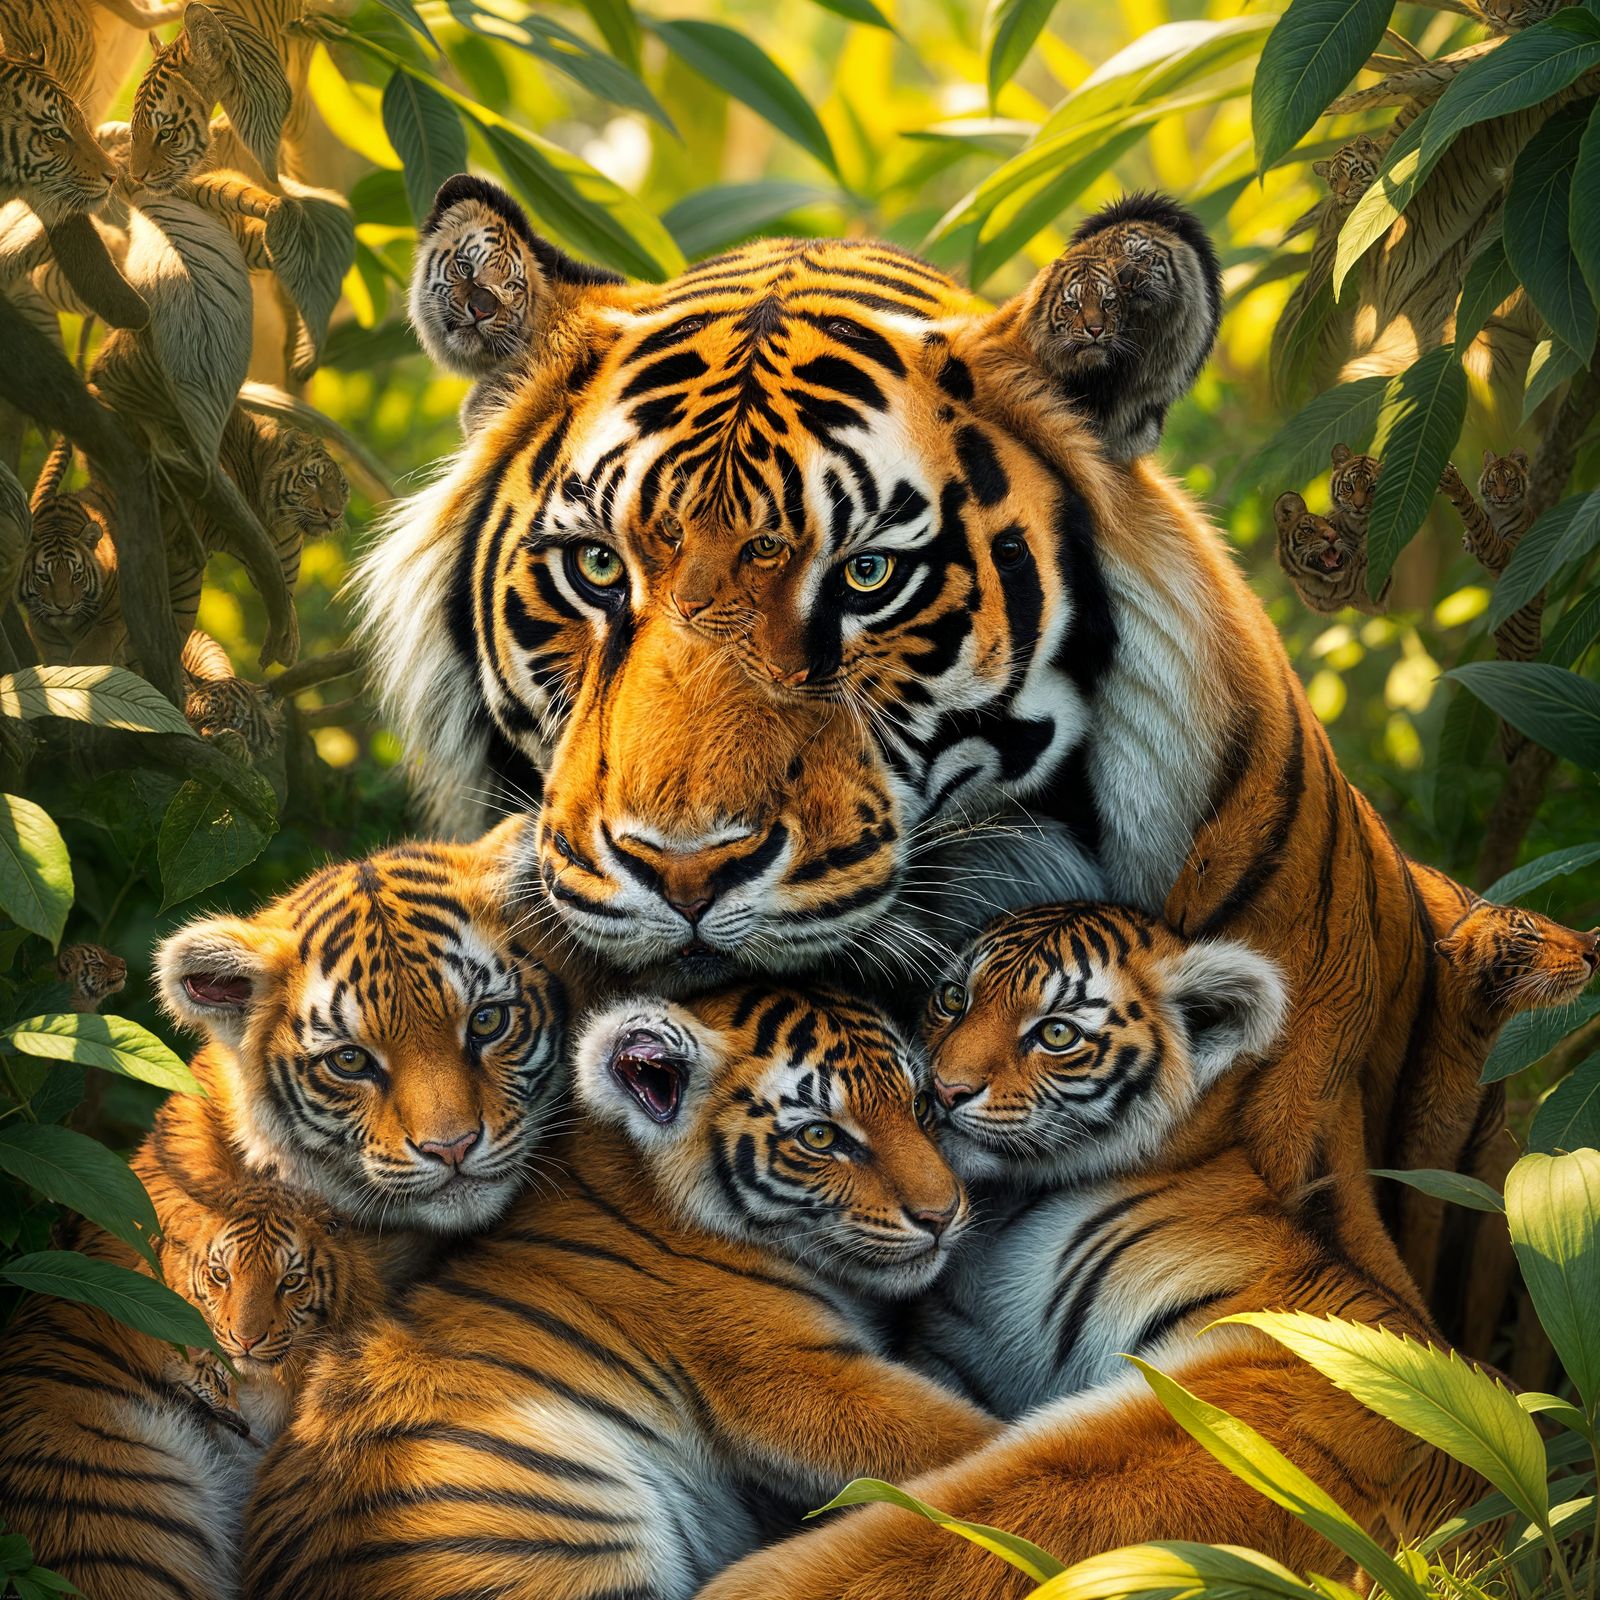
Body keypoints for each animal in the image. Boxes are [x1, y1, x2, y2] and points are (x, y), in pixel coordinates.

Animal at [694, 903, 1528, 1600]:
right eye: (953, 1000)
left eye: (1057, 1032)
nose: (940, 1092)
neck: (1013, 1219)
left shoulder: (1267, 1386)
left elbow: (999, 1517)